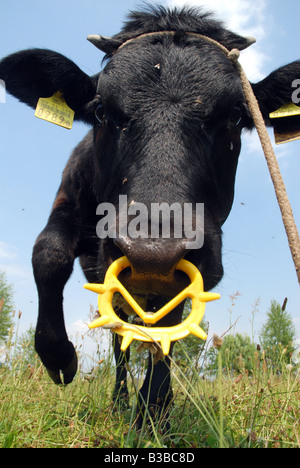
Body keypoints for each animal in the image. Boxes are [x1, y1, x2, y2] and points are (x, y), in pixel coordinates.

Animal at [1, 3, 298, 428]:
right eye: (101, 110)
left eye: (236, 115)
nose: (152, 253)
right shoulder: (68, 201)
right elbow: (48, 252)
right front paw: (58, 357)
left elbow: (170, 326)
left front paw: (155, 406)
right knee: (118, 340)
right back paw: (119, 398)